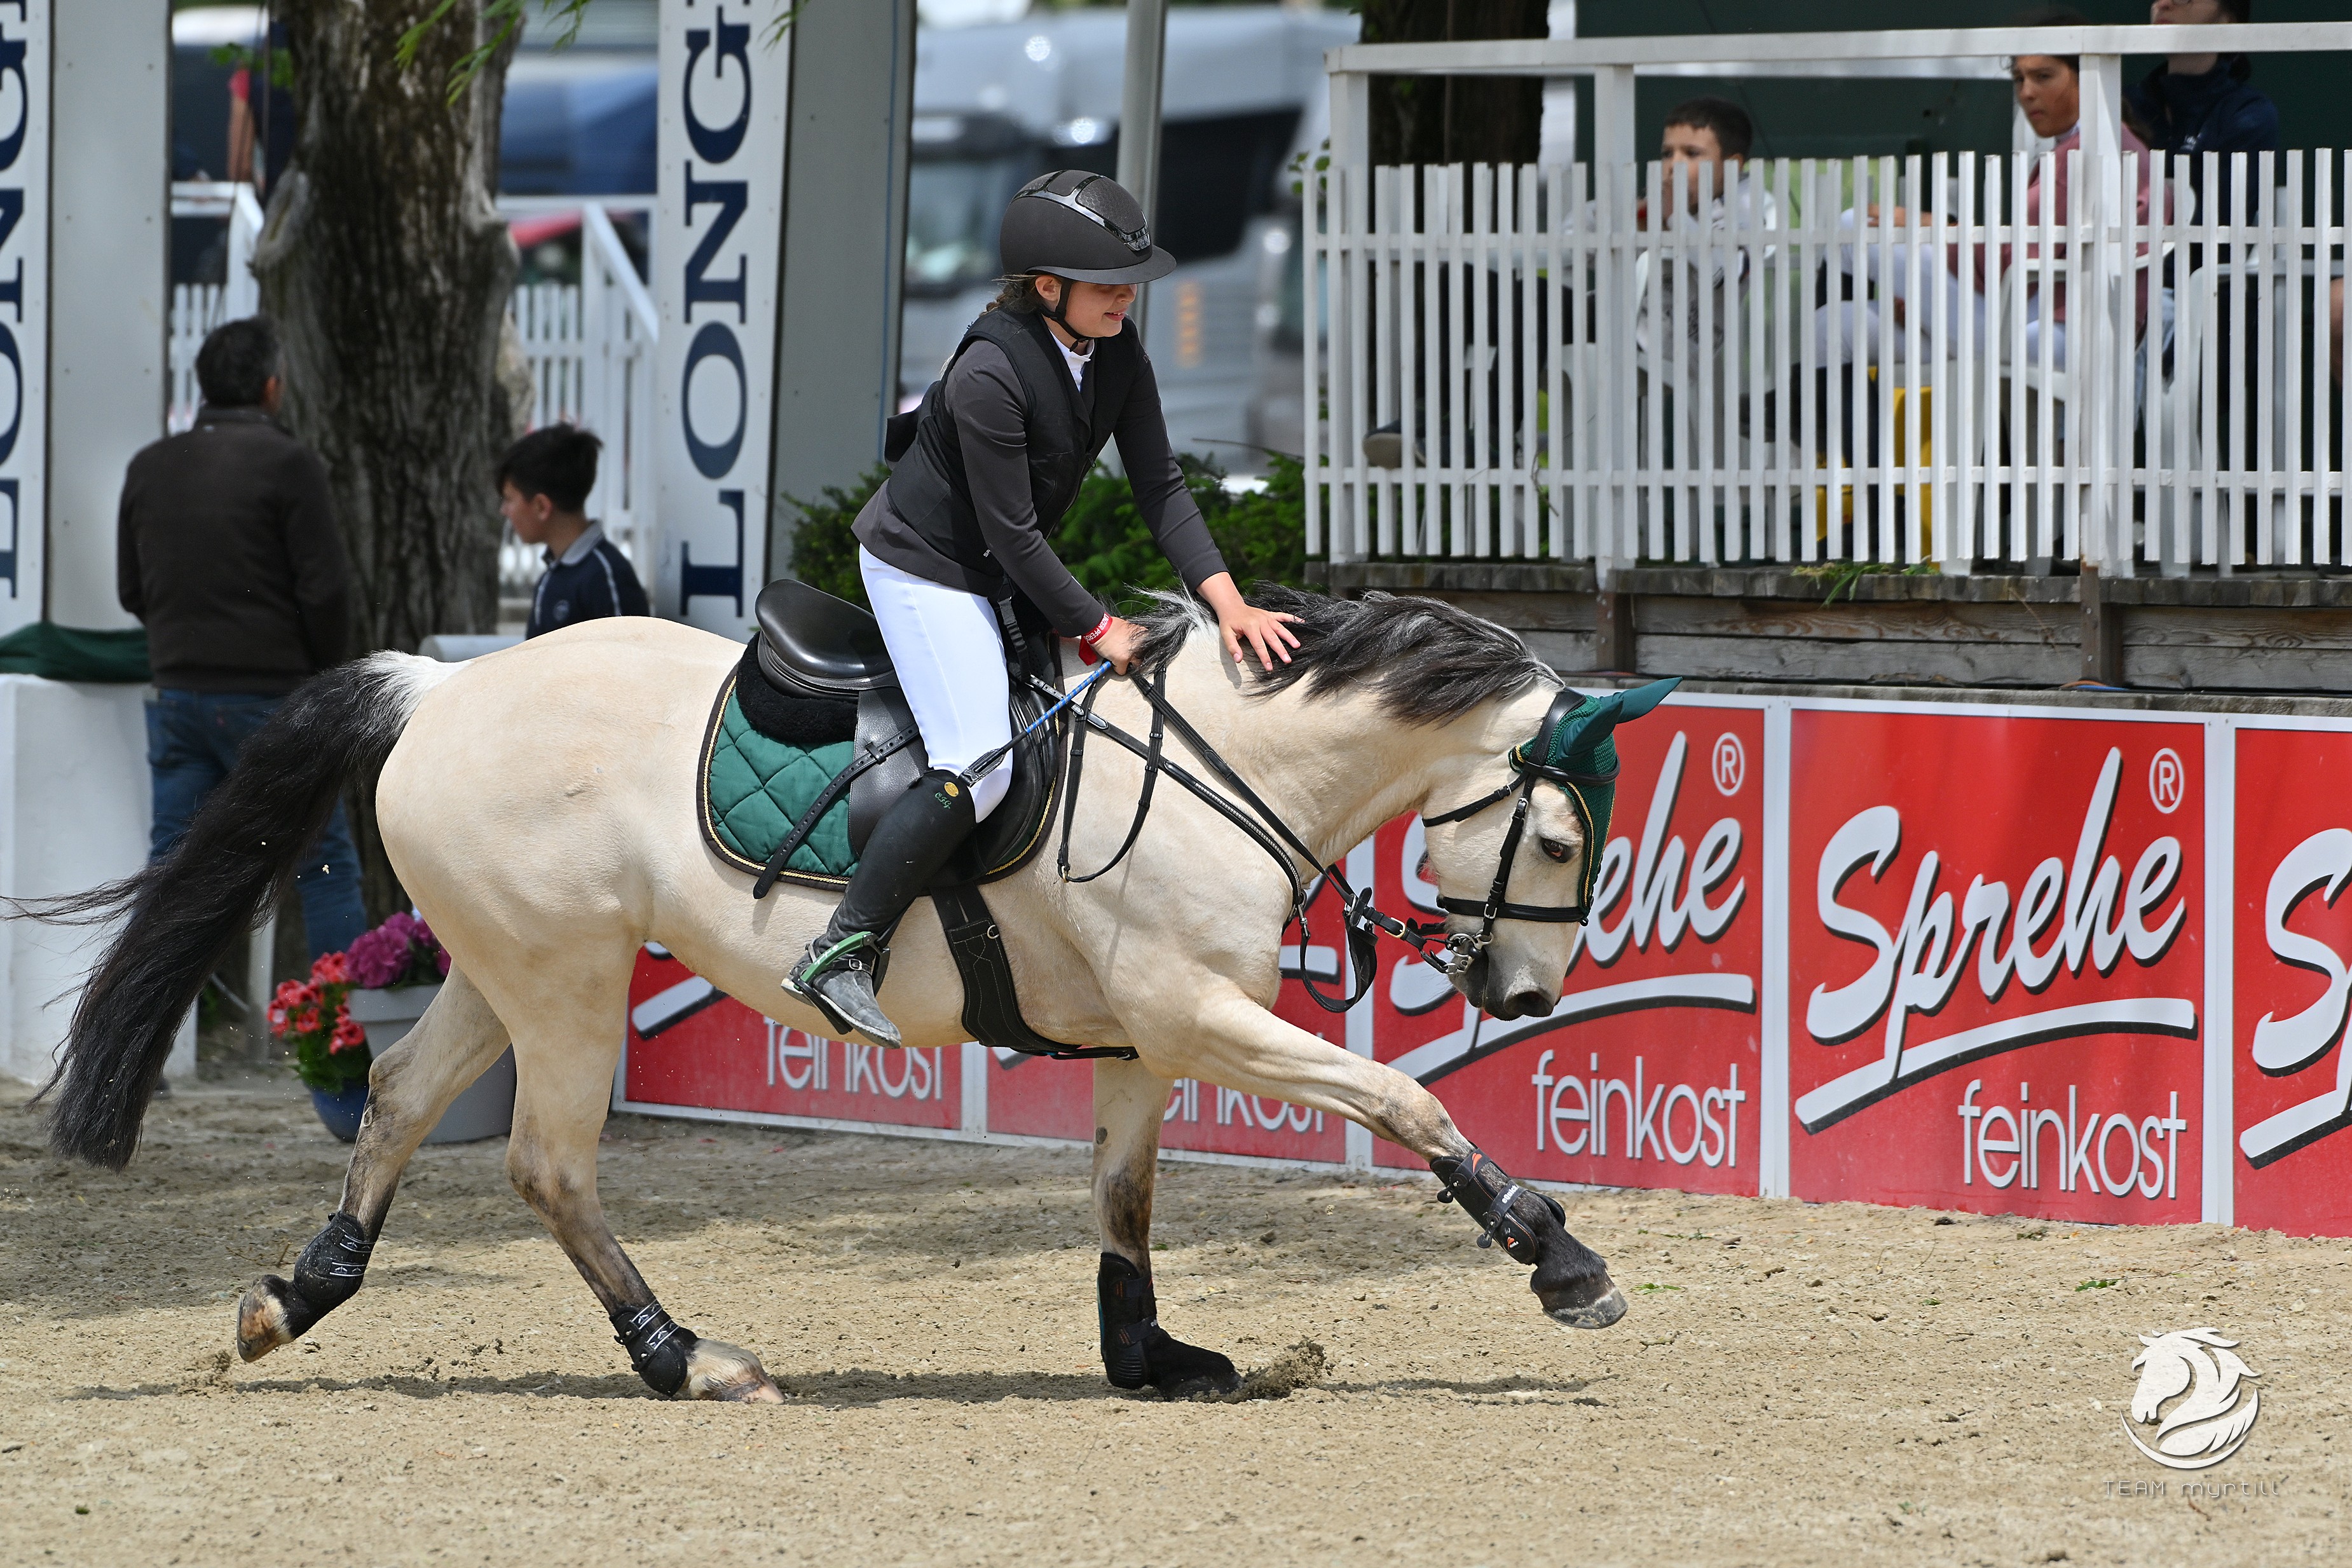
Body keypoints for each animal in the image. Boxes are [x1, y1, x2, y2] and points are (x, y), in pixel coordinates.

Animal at [36, 585, 1655, 1401]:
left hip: (505, 965)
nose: (1521, 995)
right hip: (566, 978)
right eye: (1557, 839)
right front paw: (1559, 1257)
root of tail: (441, 686)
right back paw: (684, 1358)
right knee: (546, 1163)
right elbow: (1396, 1098)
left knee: (392, 1099)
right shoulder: (1199, 1019)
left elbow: (1123, 1197)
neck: (1224, 762)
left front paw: (1146, 1355)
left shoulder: (1145, 1036)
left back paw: (291, 1300)